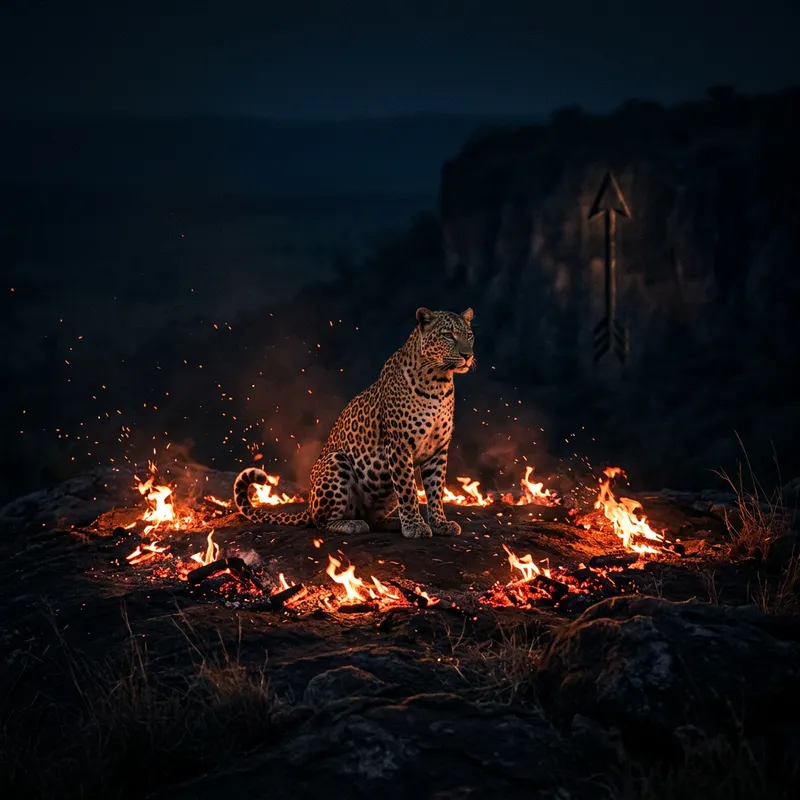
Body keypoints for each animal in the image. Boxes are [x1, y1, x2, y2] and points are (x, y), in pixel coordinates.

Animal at [233, 307, 475, 538]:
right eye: (448, 335)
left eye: (470, 335)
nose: (468, 355)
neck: (439, 382)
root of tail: (309, 506)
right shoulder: (399, 445)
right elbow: (408, 490)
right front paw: (415, 526)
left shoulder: (438, 449)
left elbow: (436, 490)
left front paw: (440, 524)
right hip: (335, 462)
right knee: (322, 522)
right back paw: (352, 524)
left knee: (374, 518)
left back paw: (393, 522)